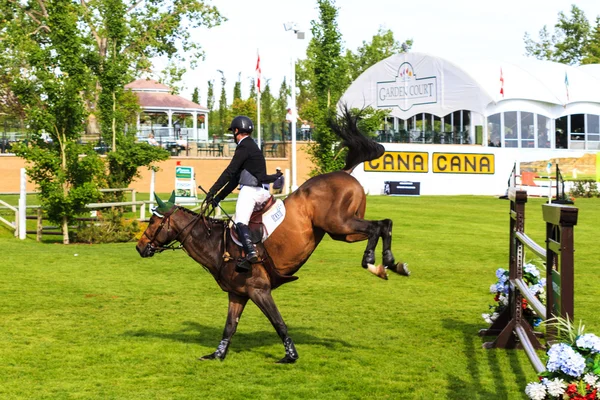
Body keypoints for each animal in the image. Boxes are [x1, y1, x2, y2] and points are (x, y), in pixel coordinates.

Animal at [137, 109, 410, 362]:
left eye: (153, 221)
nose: (140, 247)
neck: (217, 246)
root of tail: (344, 171)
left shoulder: (259, 290)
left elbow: (278, 322)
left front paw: (290, 355)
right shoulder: (237, 294)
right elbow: (229, 327)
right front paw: (217, 354)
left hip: (339, 224)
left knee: (376, 227)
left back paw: (373, 261)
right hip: (344, 232)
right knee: (384, 224)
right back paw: (390, 264)